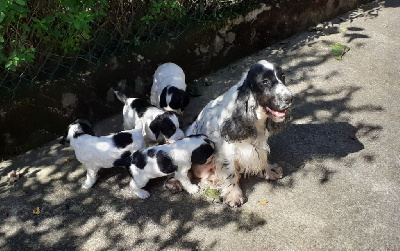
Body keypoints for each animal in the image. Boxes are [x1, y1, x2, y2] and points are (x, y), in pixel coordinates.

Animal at [185, 59, 294, 207]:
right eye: (265, 81)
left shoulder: (259, 144)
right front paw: (233, 196)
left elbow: (263, 157)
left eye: (283, 76)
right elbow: (230, 173)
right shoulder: (226, 152)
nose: (290, 98)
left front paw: (270, 171)